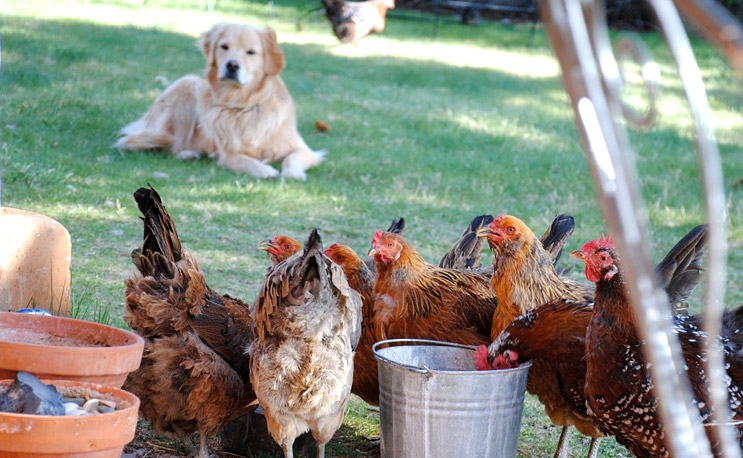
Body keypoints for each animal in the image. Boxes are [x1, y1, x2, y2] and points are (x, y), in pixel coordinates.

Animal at [116, 23, 322, 180]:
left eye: (251, 52)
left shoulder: (302, 149)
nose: (232, 65)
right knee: (172, 144)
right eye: (224, 47)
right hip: (188, 84)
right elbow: (245, 160)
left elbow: (292, 158)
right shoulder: (228, 154)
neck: (243, 106)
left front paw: (292, 173)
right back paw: (188, 153)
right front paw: (264, 169)